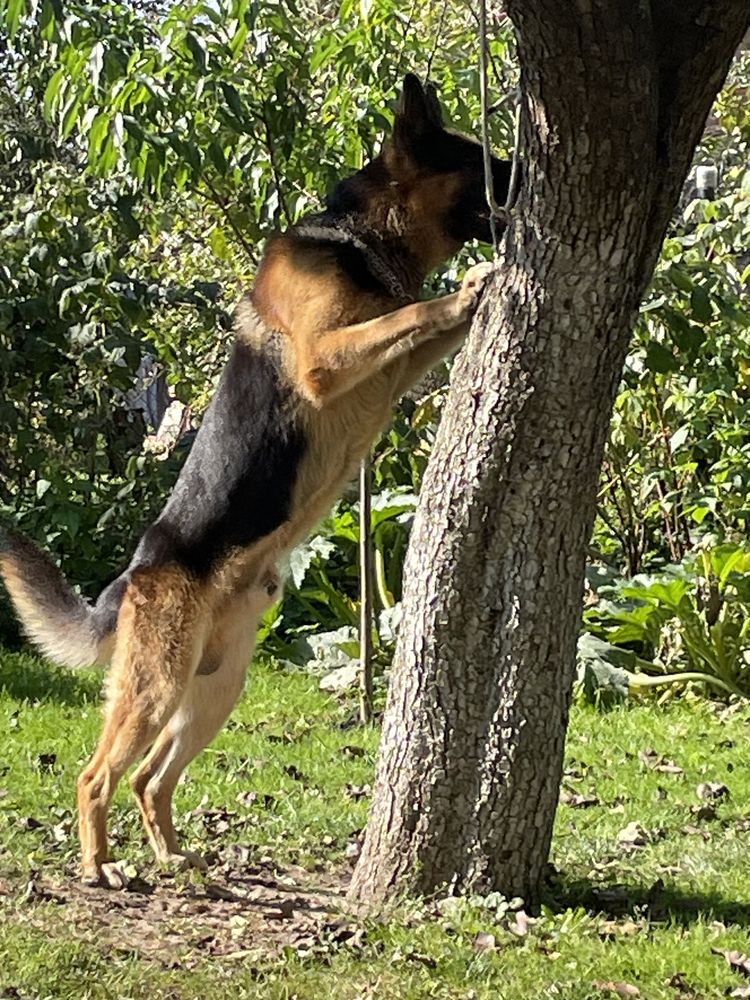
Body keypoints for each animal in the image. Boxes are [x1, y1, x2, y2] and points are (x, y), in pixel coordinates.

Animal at [0, 78, 512, 892]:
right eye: (484, 164)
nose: (526, 177)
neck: (364, 239)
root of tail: (135, 574)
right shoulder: (326, 358)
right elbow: (411, 312)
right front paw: (469, 287)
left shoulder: (393, 370)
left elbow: (415, 326)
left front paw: (474, 293)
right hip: (157, 689)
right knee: (97, 775)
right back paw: (99, 864)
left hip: (215, 690)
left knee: (149, 778)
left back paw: (172, 855)